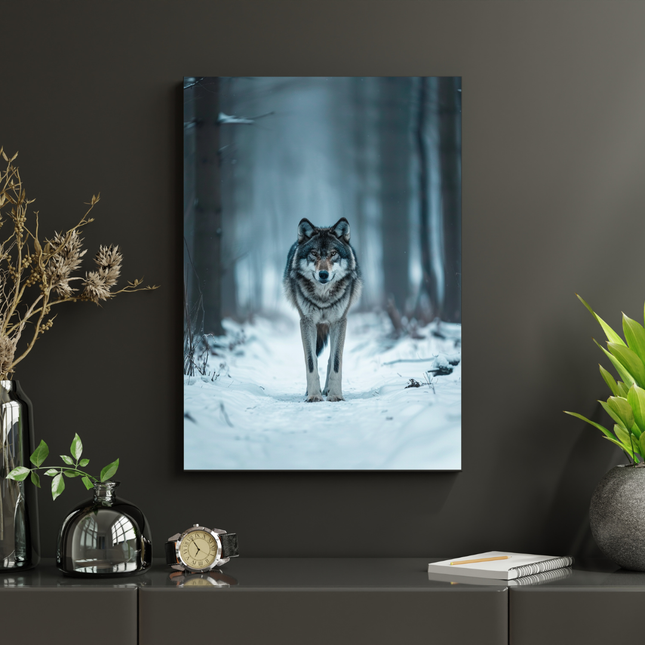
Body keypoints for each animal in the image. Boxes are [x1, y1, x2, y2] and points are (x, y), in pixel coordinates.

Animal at [283, 217, 362, 402]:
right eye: (314, 253)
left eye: (333, 254)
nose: (323, 274)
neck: (323, 297)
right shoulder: (307, 322)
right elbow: (311, 362)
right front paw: (313, 395)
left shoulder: (339, 321)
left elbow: (336, 363)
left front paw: (335, 395)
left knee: (330, 359)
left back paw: (326, 389)